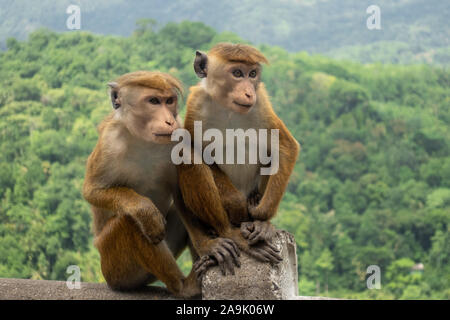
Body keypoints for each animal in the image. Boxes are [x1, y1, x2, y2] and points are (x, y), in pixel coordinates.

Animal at [83, 71, 241, 296]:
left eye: (169, 101)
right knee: (128, 221)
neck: (143, 139)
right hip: (113, 268)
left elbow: (179, 192)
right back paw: (183, 287)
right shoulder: (109, 143)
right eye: (154, 101)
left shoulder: (178, 134)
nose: (169, 121)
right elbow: (92, 190)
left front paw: (208, 245)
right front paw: (145, 211)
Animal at [178, 43, 300, 278]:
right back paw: (228, 232)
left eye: (252, 74)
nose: (248, 91)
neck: (228, 108)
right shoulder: (196, 106)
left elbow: (286, 146)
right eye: (237, 73)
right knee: (188, 159)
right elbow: (194, 153)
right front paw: (237, 205)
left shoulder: (261, 103)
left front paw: (260, 215)